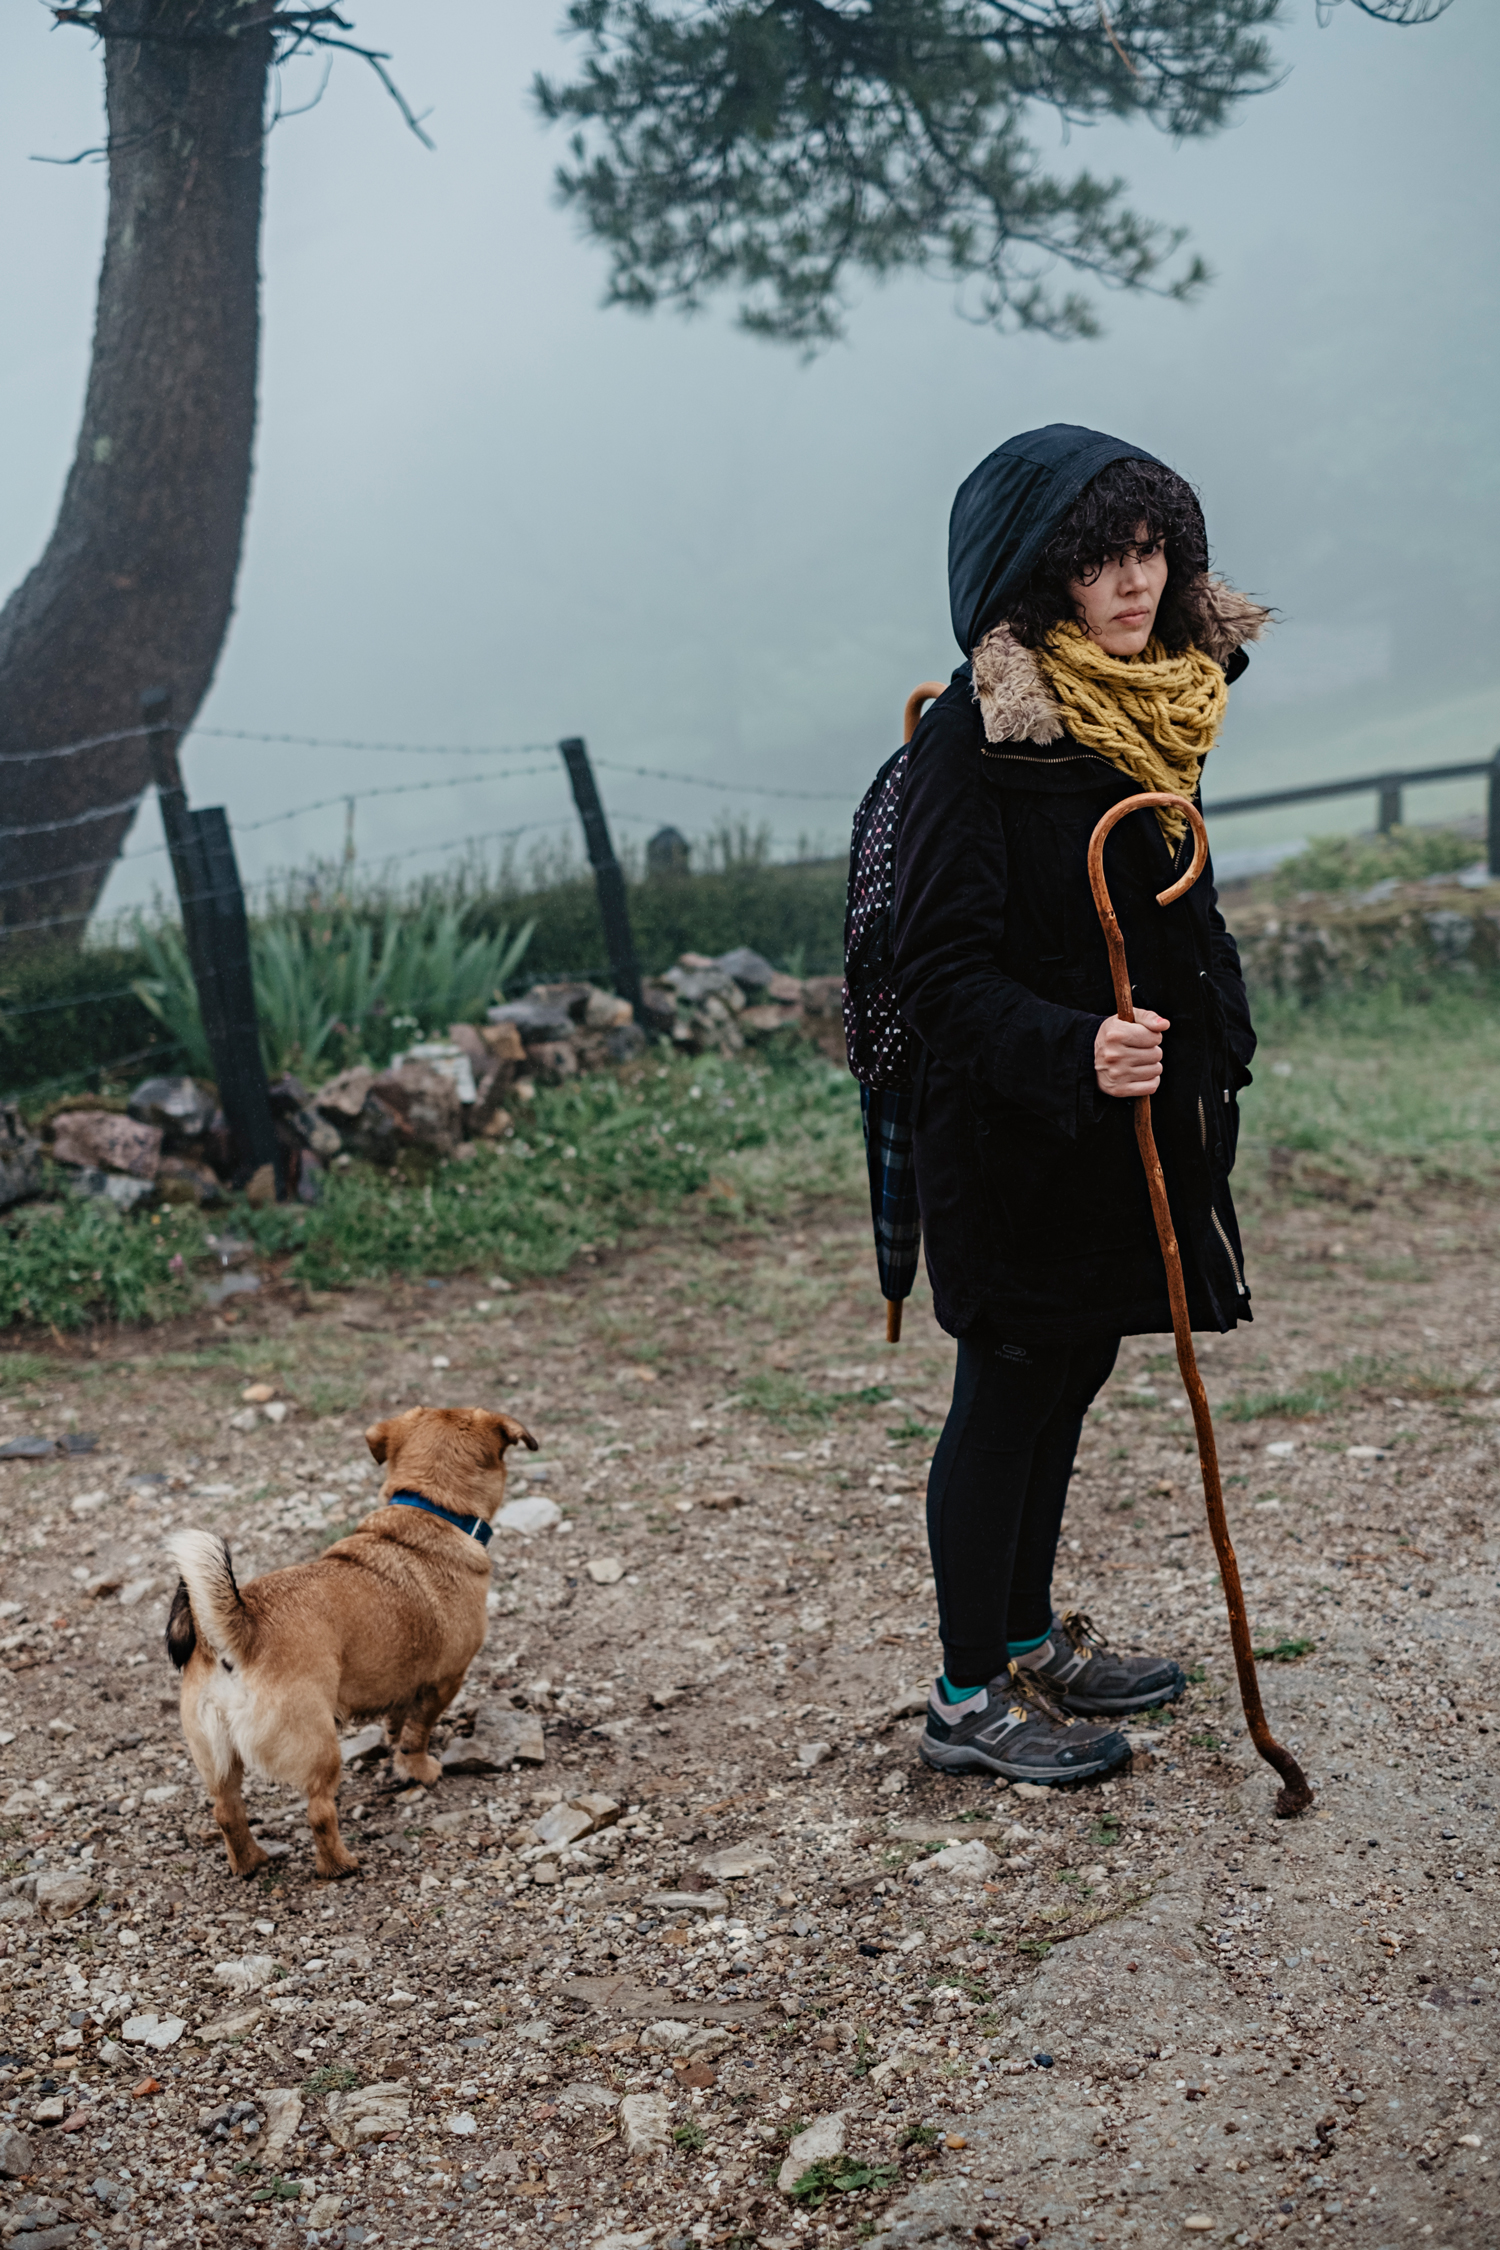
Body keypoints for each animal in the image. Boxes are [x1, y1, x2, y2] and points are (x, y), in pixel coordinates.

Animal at [163, 1404, 537, 1881]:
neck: (433, 1508)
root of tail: (240, 1627)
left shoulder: (403, 1682)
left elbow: (398, 1718)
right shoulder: (446, 1681)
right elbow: (419, 1732)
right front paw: (417, 1769)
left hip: (217, 1761)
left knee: (227, 1813)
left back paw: (251, 1863)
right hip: (321, 1749)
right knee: (320, 1813)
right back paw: (339, 1864)